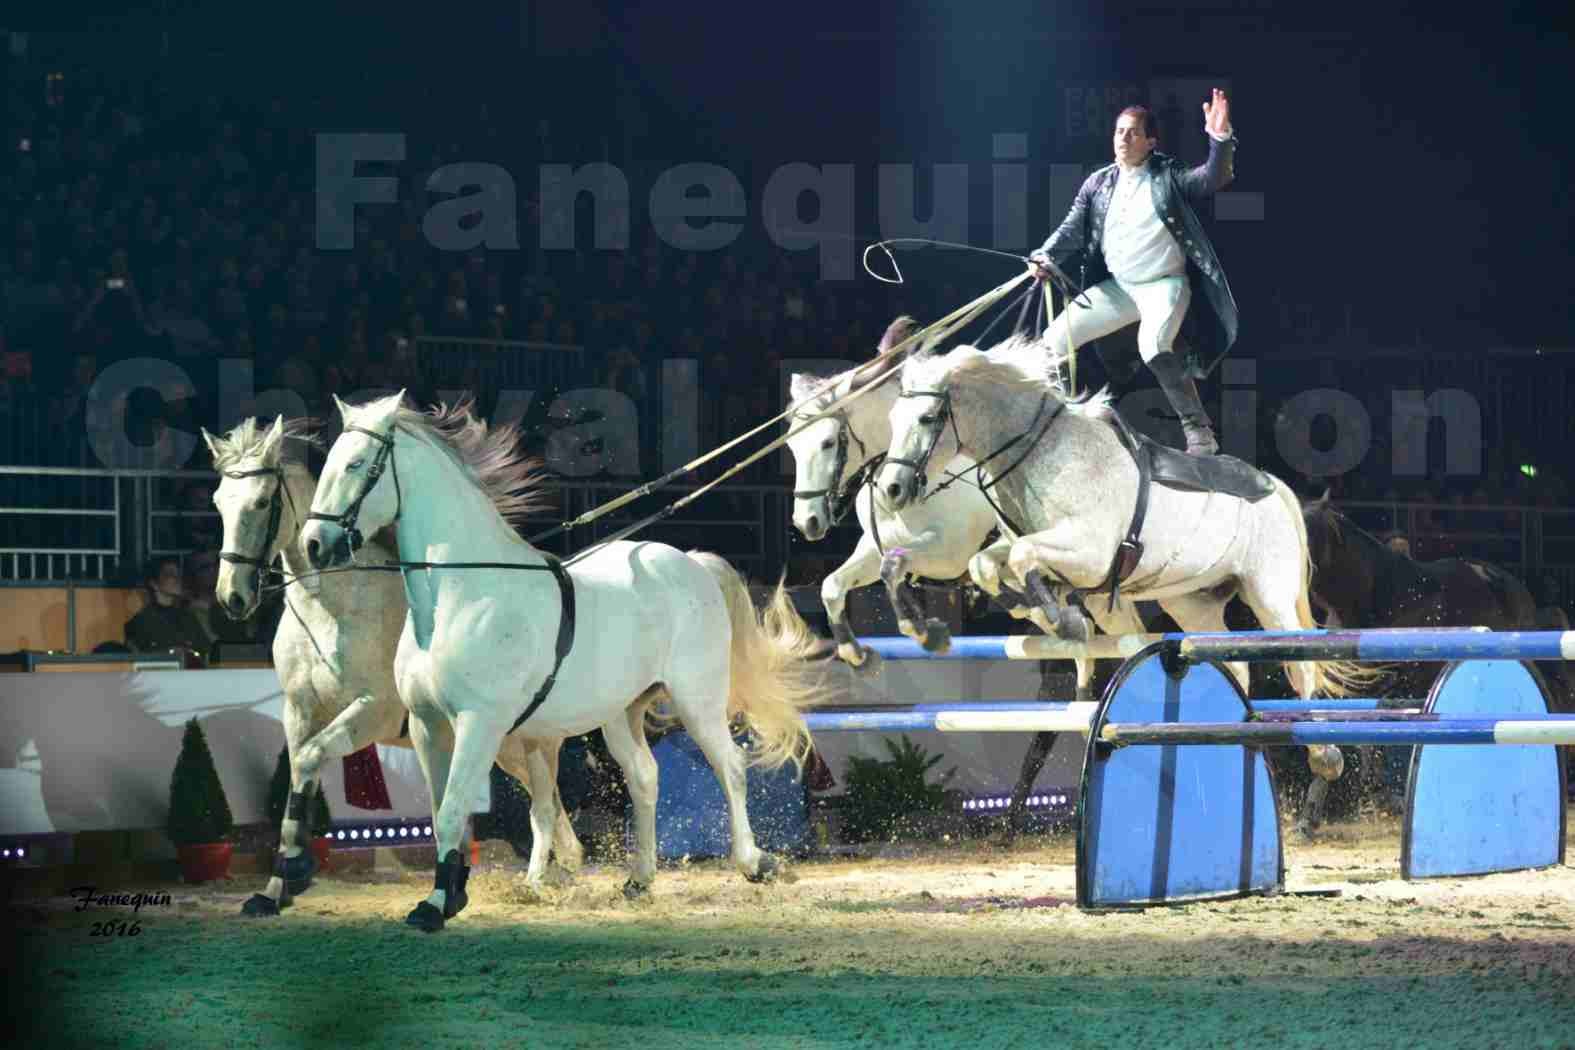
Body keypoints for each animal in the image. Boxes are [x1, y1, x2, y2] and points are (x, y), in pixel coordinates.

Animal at [203, 415, 585, 913]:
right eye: (219, 504)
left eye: (263, 501)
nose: (233, 597)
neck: (331, 608)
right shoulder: (299, 710)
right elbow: (298, 778)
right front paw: (276, 887)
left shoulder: (374, 711)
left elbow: (309, 758)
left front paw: (296, 872)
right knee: (539, 805)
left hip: (517, 741)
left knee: (545, 805)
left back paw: (541, 880)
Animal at [297, 398, 837, 931]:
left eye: (357, 464)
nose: (313, 545)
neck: (461, 592)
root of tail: (690, 562)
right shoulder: (430, 726)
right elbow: (440, 813)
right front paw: (448, 895)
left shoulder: (479, 724)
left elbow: (453, 809)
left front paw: (434, 908)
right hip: (621, 713)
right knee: (644, 776)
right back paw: (639, 879)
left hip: (697, 700)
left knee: (730, 767)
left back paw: (754, 863)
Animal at [882, 349, 1373, 768]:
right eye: (890, 419)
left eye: (927, 418)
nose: (891, 490)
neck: (1040, 454)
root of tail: (1275, 486)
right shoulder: (1040, 548)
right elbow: (986, 565)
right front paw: (1031, 610)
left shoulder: (1090, 551)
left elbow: (1022, 557)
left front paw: (1064, 622)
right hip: (1192, 603)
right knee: (1233, 663)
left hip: (1269, 595)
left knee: (1300, 661)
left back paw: (1324, 754)